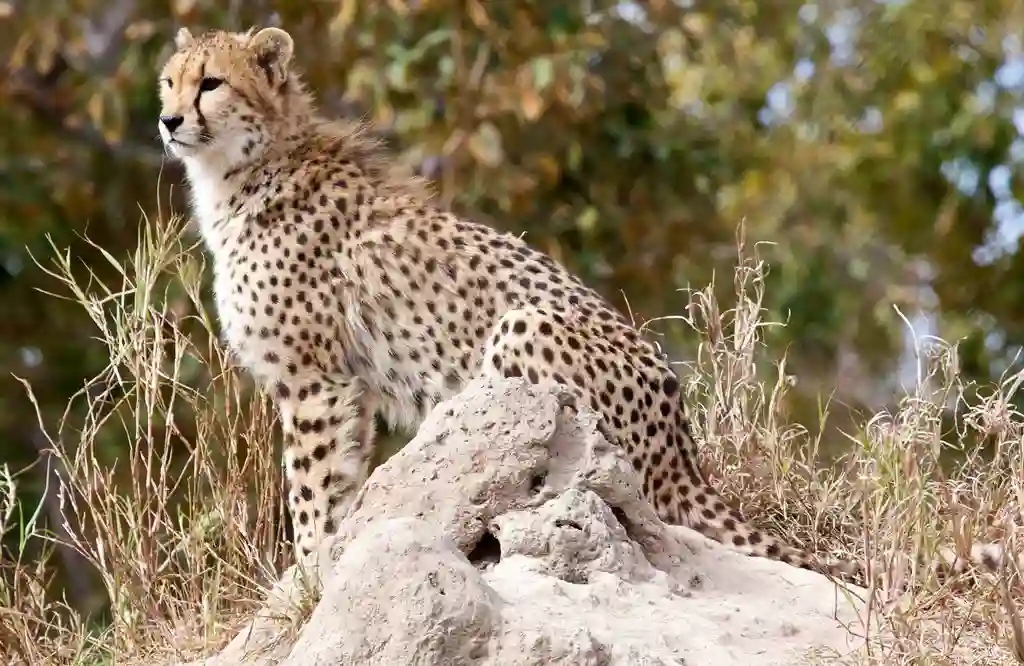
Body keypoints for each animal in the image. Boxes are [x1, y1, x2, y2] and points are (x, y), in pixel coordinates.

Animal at [161, 25, 1015, 586]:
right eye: (170, 80)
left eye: (212, 84)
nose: (167, 121)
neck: (247, 166)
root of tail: (681, 442)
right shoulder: (343, 386)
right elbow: (334, 488)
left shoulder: (316, 380)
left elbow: (312, 492)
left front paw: (306, 577)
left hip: (525, 327)